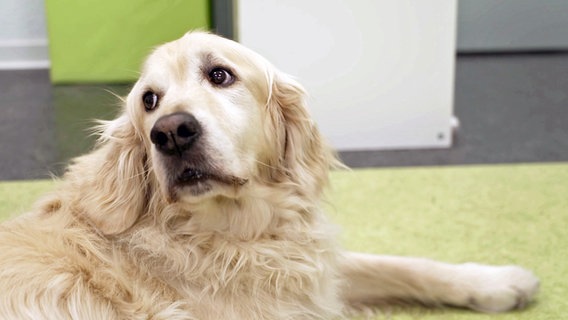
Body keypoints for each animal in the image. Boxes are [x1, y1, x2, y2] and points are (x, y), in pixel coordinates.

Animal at [0, 31, 540, 318]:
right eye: (149, 100)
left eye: (220, 74)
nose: (170, 133)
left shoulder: (309, 270)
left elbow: (398, 263)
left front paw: (496, 281)